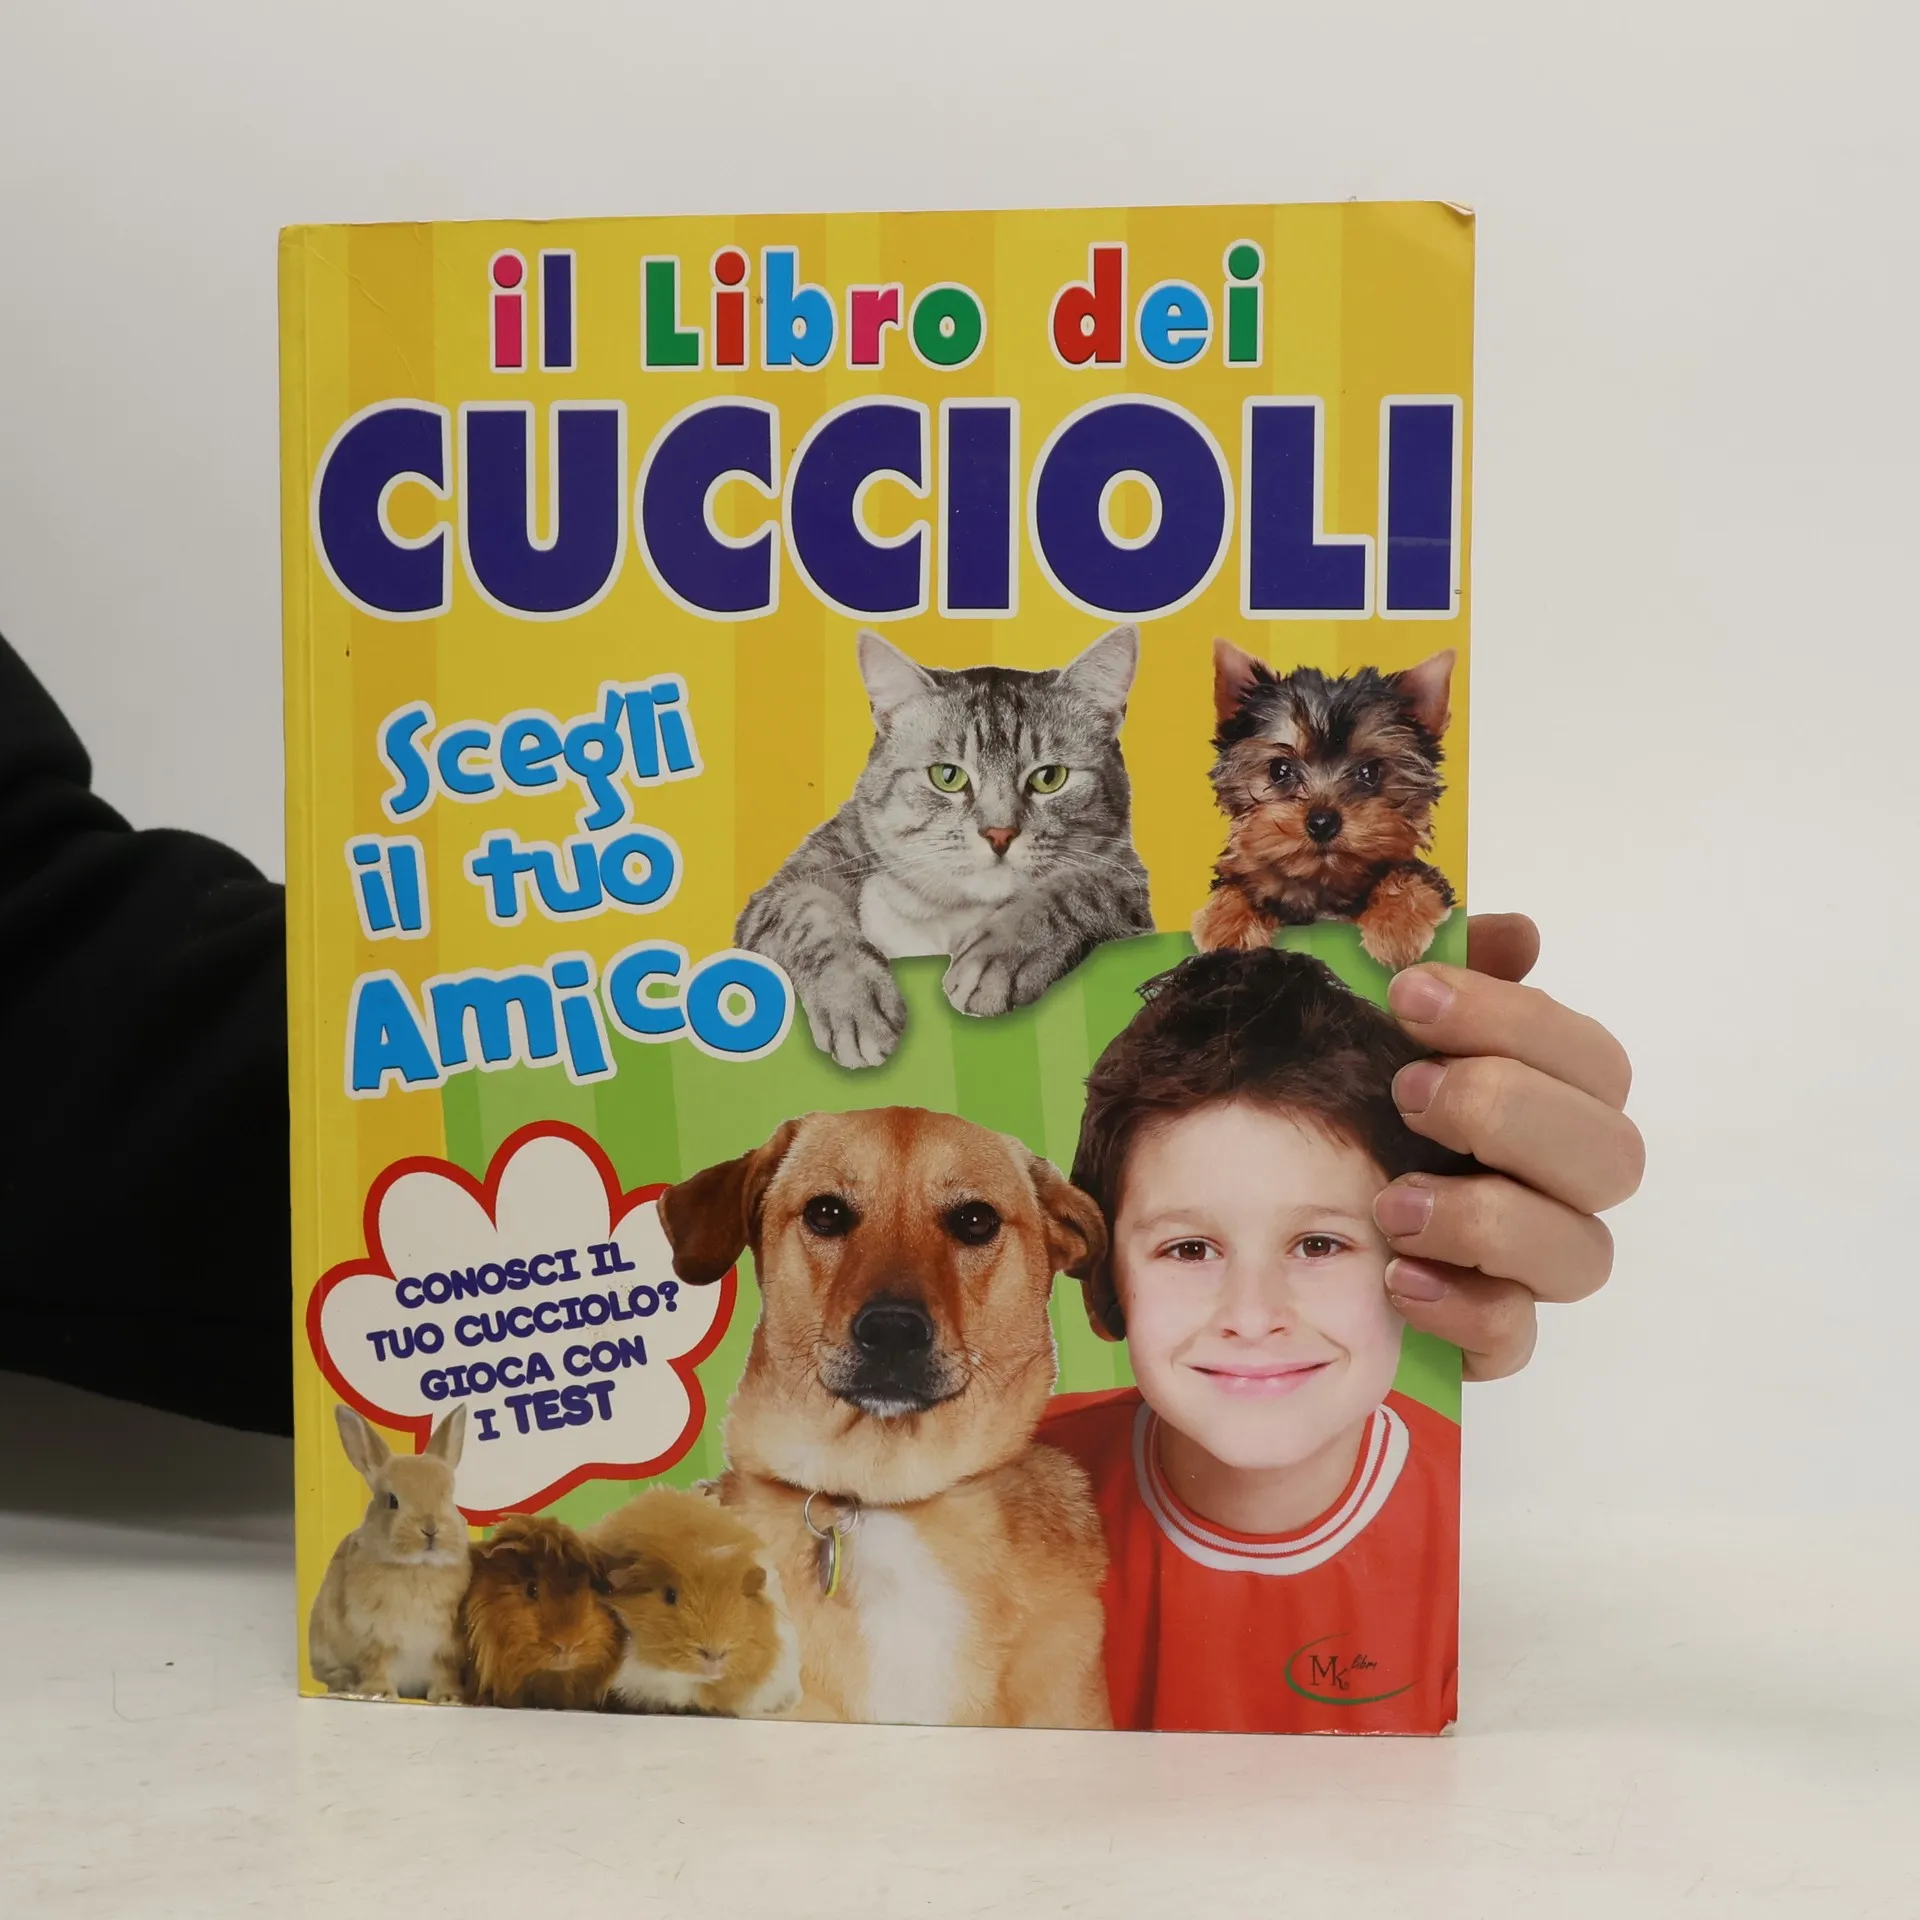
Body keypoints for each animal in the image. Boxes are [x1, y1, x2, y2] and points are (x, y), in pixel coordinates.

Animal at [308, 1404, 470, 1703]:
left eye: (449, 1498)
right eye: (392, 1501)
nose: (430, 1529)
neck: (417, 1567)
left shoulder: (446, 1650)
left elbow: (445, 1672)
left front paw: (448, 1697)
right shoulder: (371, 1637)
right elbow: (376, 1665)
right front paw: (379, 1693)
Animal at [736, 626, 1154, 1069]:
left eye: (1049, 778)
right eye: (947, 776)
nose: (999, 834)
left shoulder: (1128, 885)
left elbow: (1078, 889)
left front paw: (1003, 950)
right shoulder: (792, 883)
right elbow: (808, 914)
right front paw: (852, 1000)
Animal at [1192, 640, 1456, 971]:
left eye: (1369, 772)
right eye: (1279, 770)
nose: (1322, 822)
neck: (1321, 882)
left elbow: (1410, 874)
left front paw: (1396, 925)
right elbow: (1237, 884)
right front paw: (1227, 924)